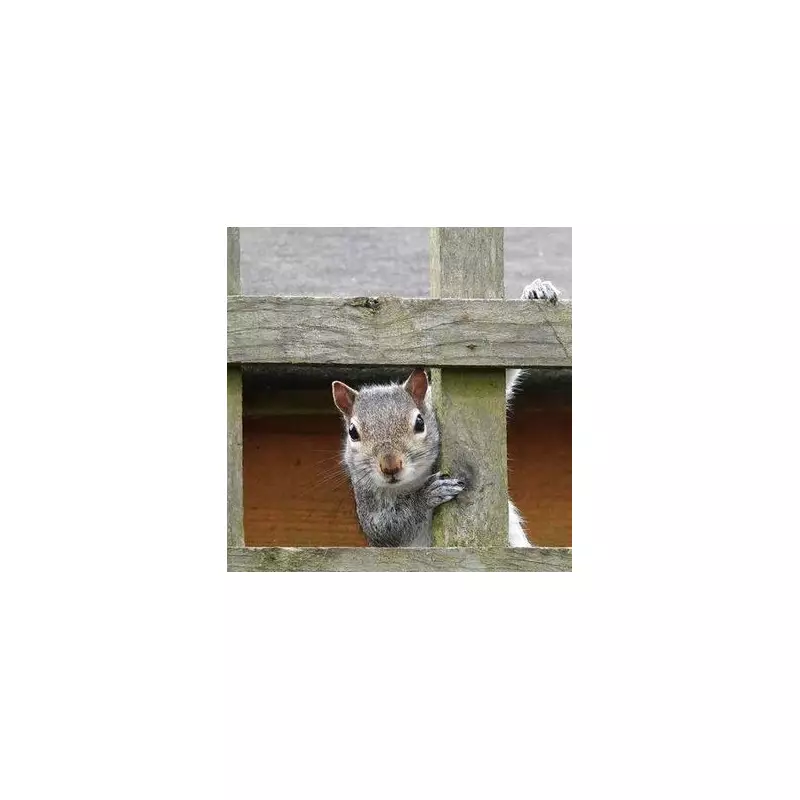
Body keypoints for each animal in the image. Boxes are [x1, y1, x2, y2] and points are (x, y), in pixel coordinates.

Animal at [331, 278, 562, 548]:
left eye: (420, 423)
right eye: (352, 433)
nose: (390, 466)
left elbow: (503, 376)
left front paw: (536, 292)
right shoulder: (370, 509)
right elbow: (390, 528)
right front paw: (426, 496)